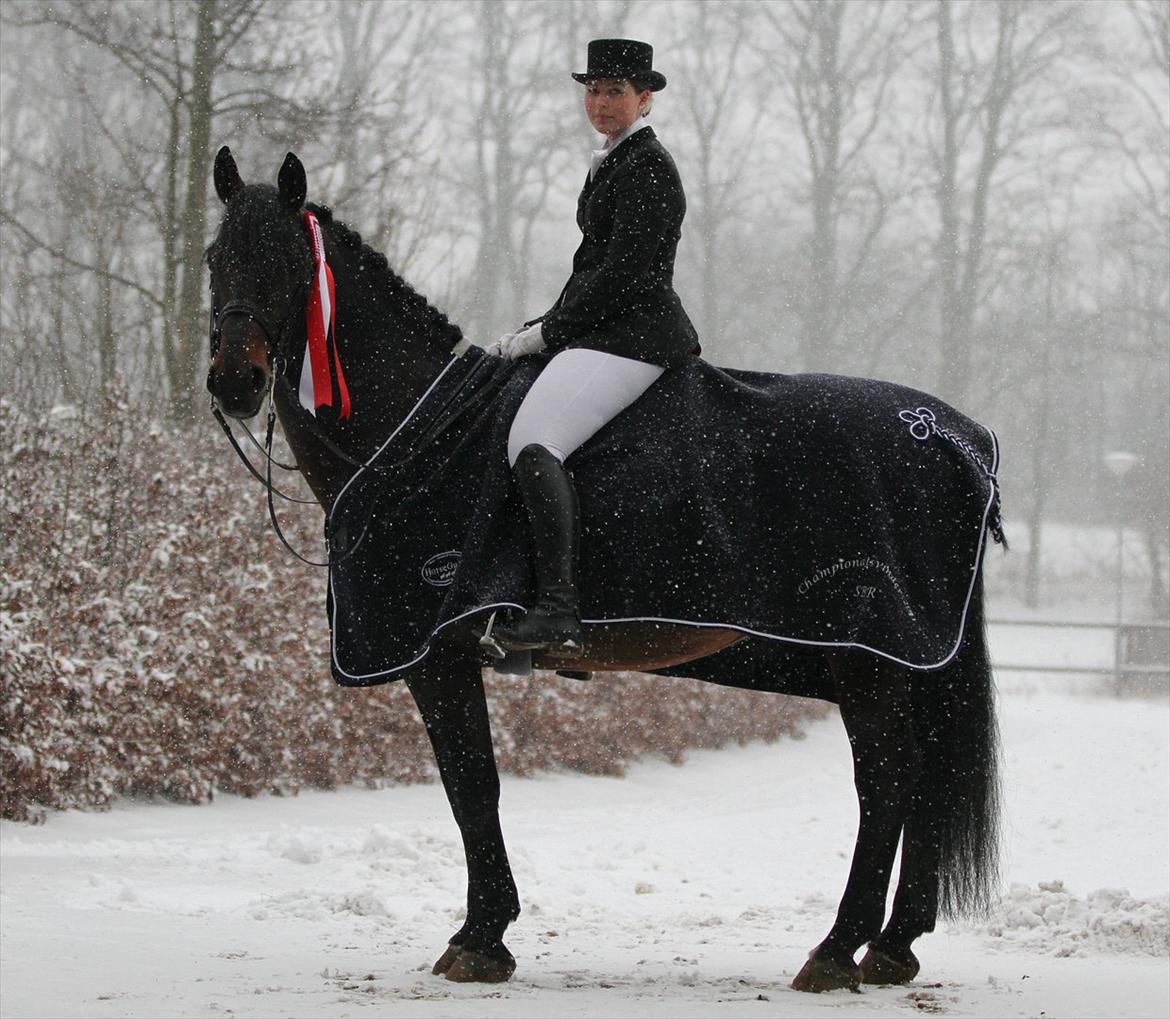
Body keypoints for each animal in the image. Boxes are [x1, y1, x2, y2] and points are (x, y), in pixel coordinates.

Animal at [205, 149, 1001, 996]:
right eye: (216, 258)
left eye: (288, 264)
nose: (233, 383)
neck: (422, 431)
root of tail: (960, 437)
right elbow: (471, 785)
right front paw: (487, 931)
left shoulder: (439, 651)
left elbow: (471, 783)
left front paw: (481, 936)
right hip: (896, 665)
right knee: (923, 777)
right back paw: (892, 945)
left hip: (871, 659)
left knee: (889, 781)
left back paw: (835, 947)